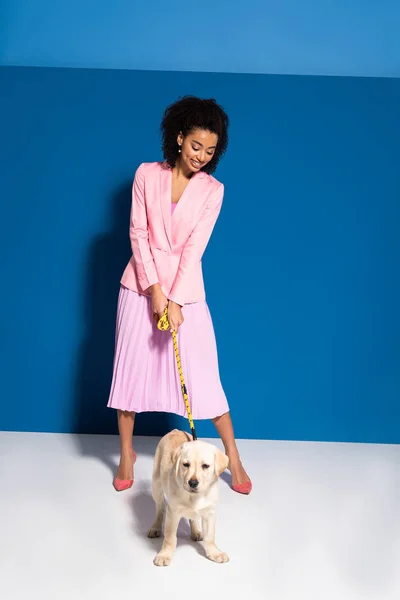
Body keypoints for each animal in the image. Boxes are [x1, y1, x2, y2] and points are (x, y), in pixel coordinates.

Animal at [148, 428, 230, 564]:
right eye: (186, 465)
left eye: (205, 466)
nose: (192, 483)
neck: (195, 496)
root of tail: (175, 430)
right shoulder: (173, 512)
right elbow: (170, 537)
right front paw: (165, 555)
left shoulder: (209, 512)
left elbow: (210, 536)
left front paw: (214, 552)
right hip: (156, 484)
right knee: (160, 508)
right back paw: (155, 528)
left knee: (193, 517)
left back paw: (196, 531)